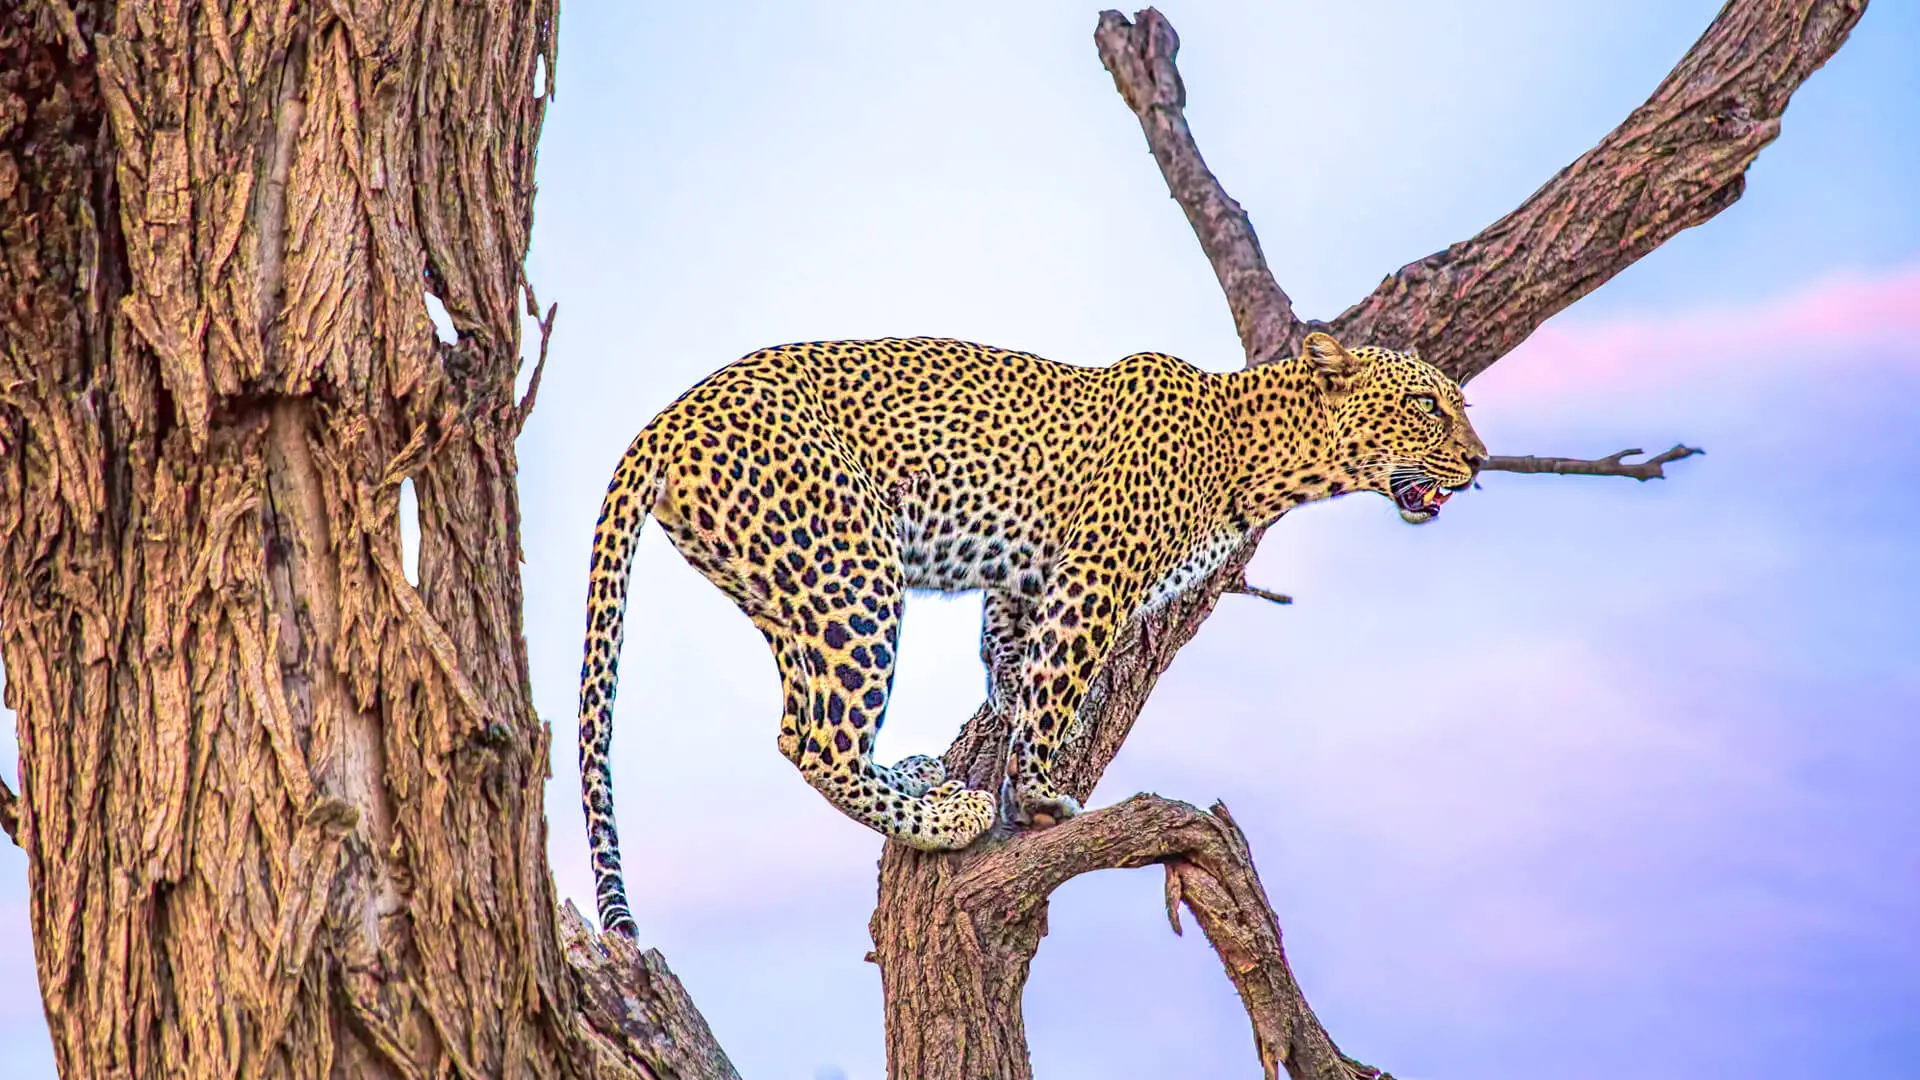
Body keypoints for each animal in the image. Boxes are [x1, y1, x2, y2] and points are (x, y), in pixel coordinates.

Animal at [575, 330, 1487, 937]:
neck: (1257, 457)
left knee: (809, 716)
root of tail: (669, 415)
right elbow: (1061, 670)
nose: (1480, 463)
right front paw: (1043, 793)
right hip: (854, 568)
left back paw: (919, 780)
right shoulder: (1097, 573)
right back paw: (946, 817)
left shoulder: (1026, 579)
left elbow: (1017, 664)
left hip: (782, 588)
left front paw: (1027, 731)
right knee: (815, 740)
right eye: (1425, 405)